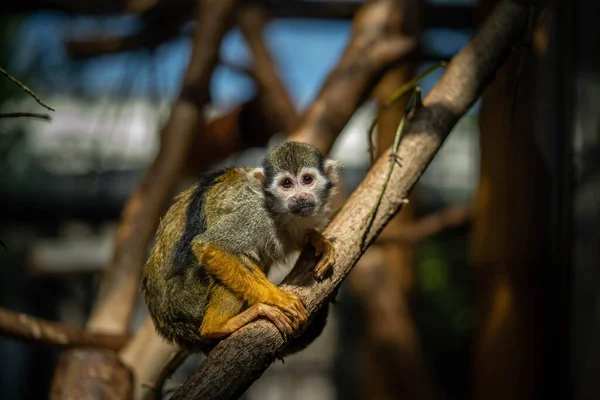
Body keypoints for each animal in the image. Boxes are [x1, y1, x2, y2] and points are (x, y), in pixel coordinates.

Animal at [139, 141, 338, 354]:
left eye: (307, 179)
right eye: (286, 184)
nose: (300, 197)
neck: (277, 209)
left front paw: (318, 240)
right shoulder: (256, 215)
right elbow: (209, 245)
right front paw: (277, 297)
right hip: (188, 300)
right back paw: (217, 326)